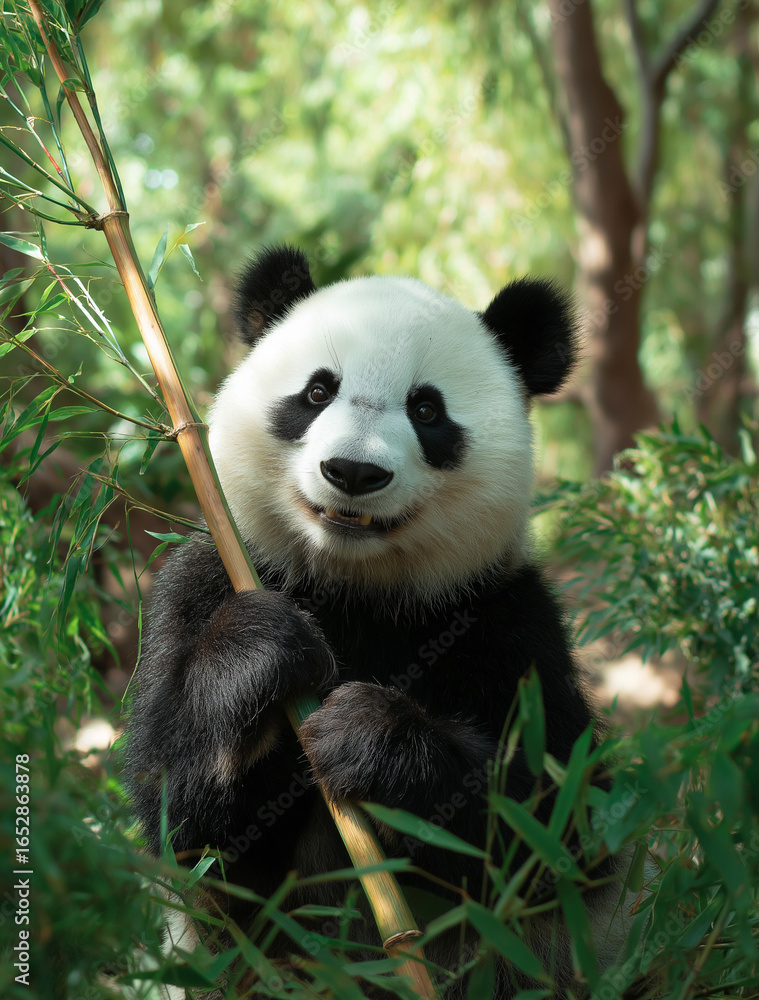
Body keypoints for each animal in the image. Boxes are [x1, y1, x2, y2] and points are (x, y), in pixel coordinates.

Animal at [125, 246, 634, 996]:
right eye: (316, 393)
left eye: (426, 409)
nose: (352, 472)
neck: (355, 588)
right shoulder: (206, 581)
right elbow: (190, 828)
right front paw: (259, 652)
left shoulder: (505, 618)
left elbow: (557, 834)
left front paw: (367, 734)